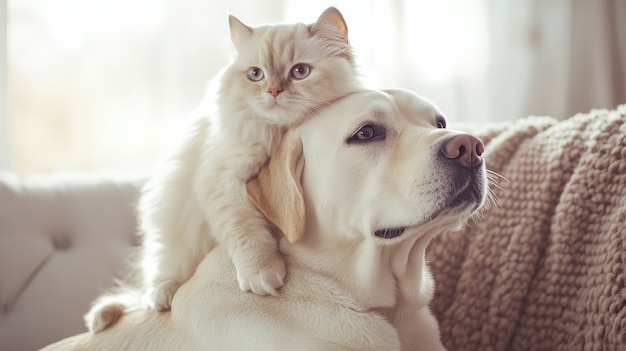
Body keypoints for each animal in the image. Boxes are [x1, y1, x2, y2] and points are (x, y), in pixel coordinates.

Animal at [86, 6, 360, 334]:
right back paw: (163, 295)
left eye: (300, 72)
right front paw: (263, 275)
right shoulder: (222, 180)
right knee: (156, 281)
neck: (276, 133)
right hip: (169, 232)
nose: (273, 90)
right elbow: (247, 233)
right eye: (256, 74)